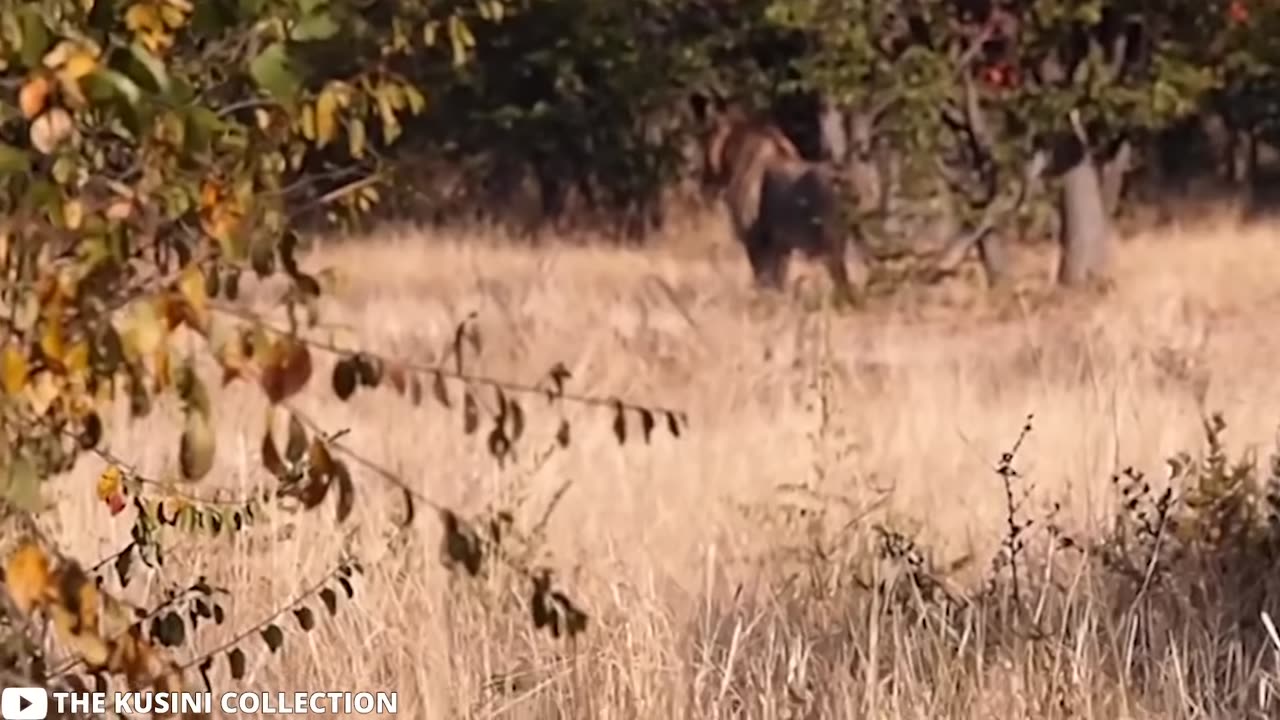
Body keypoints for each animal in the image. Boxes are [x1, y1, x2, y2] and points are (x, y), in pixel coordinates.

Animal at [696, 99, 875, 302]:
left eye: (706, 139)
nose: (703, 180)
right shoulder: (780, 246)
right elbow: (778, 282)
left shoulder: (755, 241)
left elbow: (764, 280)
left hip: (831, 245)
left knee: (843, 285)